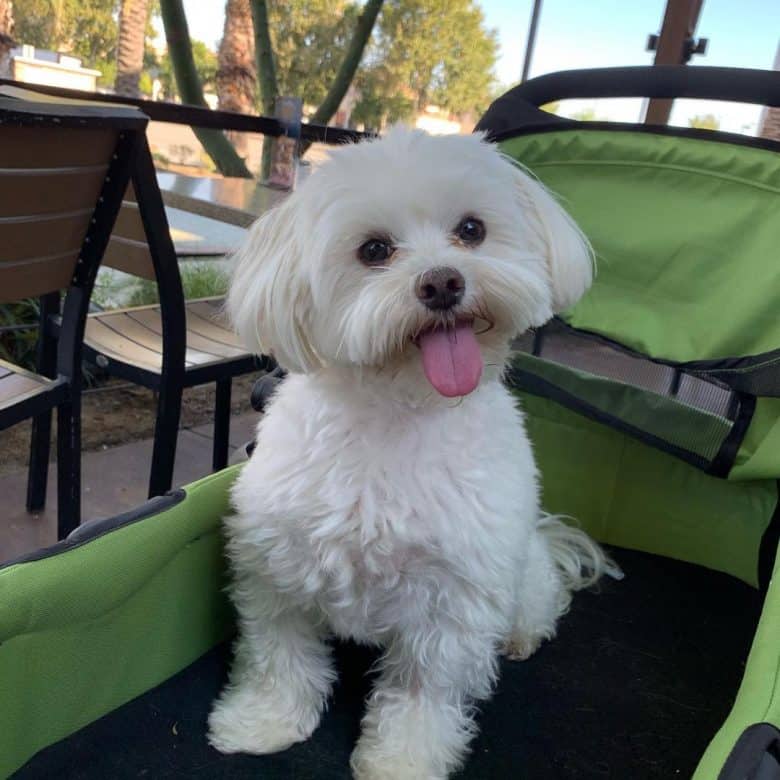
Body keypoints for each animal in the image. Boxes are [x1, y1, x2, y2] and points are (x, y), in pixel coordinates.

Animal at [207, 129, 616, 780]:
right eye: (374, 249)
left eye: (471, 230)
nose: (442, 282)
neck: (400, 408)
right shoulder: (278, 567)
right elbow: (279, 653)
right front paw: (263, 722)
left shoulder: (454, 599)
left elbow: (424, 689)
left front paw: (403, 759)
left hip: (520, 572)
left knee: (539, 600)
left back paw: (521, 635)